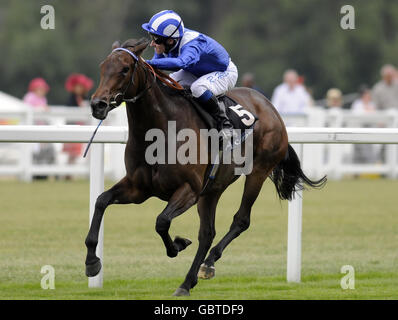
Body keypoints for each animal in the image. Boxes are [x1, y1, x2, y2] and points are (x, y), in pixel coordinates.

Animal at [84, 38, 326, 298]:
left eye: (125, 69)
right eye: (102, 67)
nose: (98, 104)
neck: (160, 130)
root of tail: (271, 107)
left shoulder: (188, 189)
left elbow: (162, 221)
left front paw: (178, 245)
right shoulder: (138, 188)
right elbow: (101, 201)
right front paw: (92, 262)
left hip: (258, 172)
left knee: (241, 220)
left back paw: (208, 263)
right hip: (212, 189)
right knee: (207, 233)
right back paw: (187, 282)